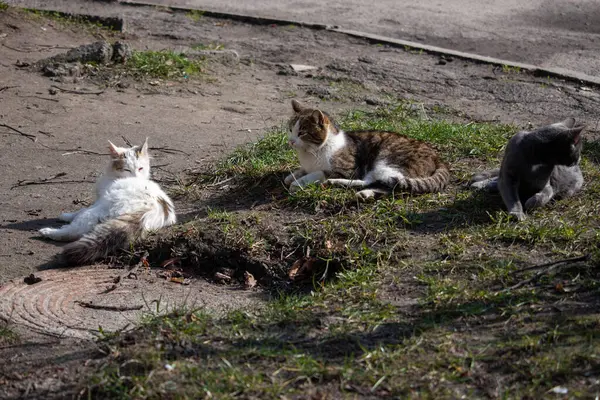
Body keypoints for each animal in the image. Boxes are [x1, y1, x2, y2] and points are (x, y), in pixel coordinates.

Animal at [38, 139, 176, 264]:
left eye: (140, 168)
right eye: (127, 170)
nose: (135, 176)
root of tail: (153, 209)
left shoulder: (99, 200)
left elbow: (81, 210)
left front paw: (66, 216)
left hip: (99, 210)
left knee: (75, 231)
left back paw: (49, 231)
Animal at [284, 100, 448, 200]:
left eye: (302, 133)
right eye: (291, 129)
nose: (290, 141)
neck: (311, 152)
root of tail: (437, 157)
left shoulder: (347, 170)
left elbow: (318, 173)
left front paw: (297, 183)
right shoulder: (308, 165)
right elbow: (301, 171)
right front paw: (292, 176)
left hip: (385, 161)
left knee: (379, 181)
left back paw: (337, 183)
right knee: (388, 185)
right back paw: (363, 193)